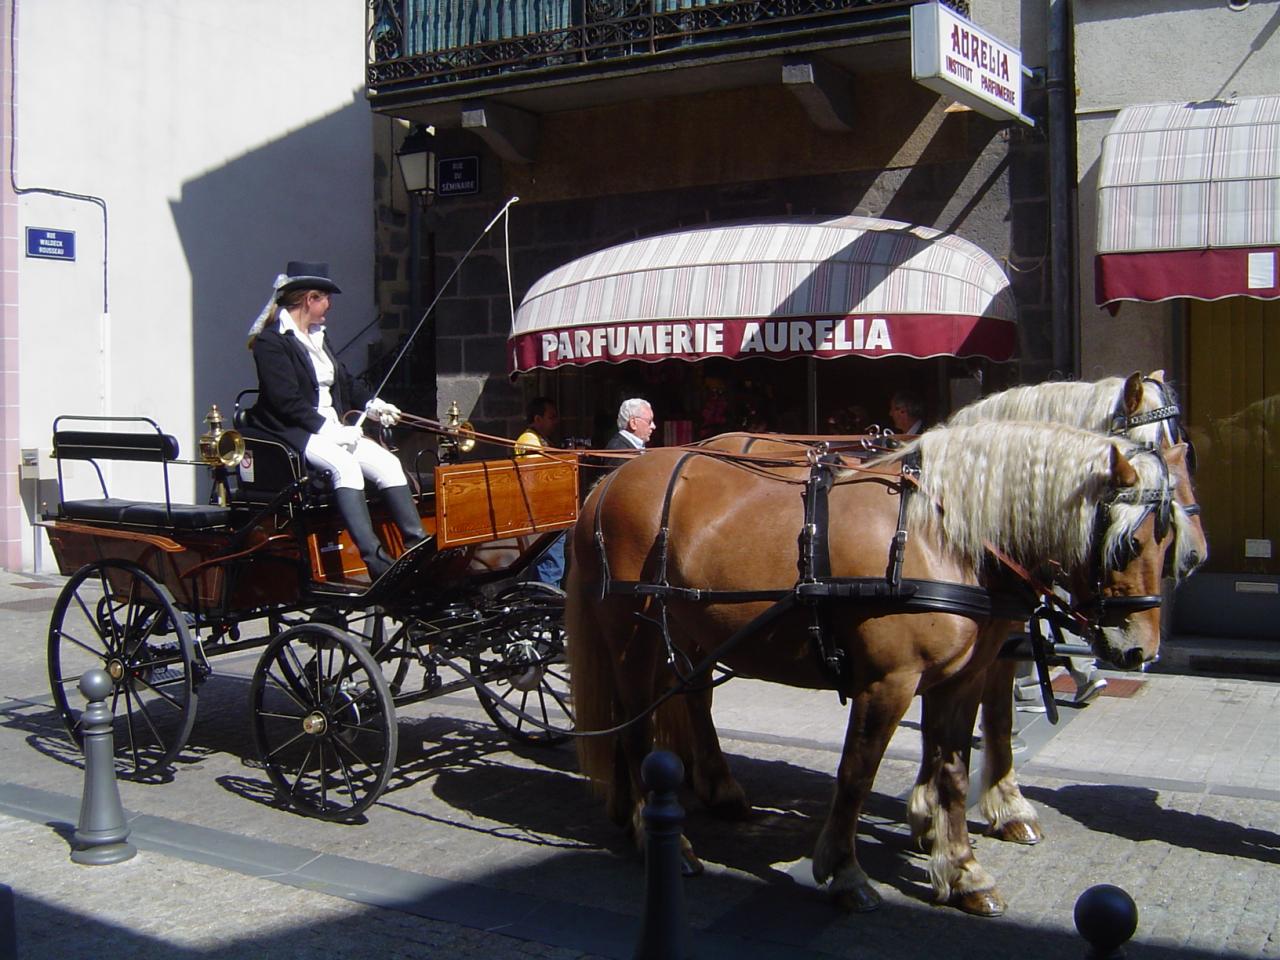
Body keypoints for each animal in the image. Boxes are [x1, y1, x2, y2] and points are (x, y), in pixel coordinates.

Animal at [565, 422, 1182, 916]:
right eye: (1127, 543)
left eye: (1168, 535)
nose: (1139, 651)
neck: (940, 534)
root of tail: (605, 485)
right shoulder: (889, 683)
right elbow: (856, 773)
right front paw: (843, 871)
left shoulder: (960, 679)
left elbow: (953, 773)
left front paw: (961, 869)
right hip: (635, 641)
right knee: (637, 731)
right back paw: (657, 834)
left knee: (668, 708)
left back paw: (659, 805)